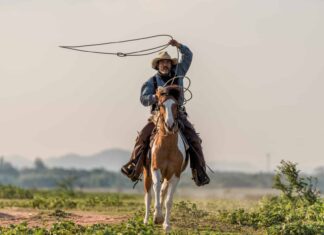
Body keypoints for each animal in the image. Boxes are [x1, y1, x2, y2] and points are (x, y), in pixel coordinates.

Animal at [143, 85, 189, 232]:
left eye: (176, 105)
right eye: (161, 105)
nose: (170, 125)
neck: (168, 146)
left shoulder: (175, 174)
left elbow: (168, 200)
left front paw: (166, 224)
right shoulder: (155, 169)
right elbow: (156, 188)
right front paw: (157, 217)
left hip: (167, 176)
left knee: (163, 191)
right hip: (147, 173)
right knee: (148, 195)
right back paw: (146, 220)